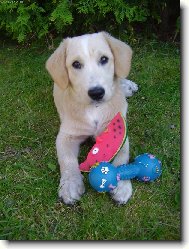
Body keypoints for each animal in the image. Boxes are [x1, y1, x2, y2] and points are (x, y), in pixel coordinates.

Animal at [45, 31, 137, 204]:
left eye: (104, 59)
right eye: (76, 64)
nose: (96, 92)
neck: (95, 109)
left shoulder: (121, 133)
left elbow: (122, 156)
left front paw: (122, 185)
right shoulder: (66, 135)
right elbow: (66, 160)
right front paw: (70, 184)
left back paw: (127, 86)